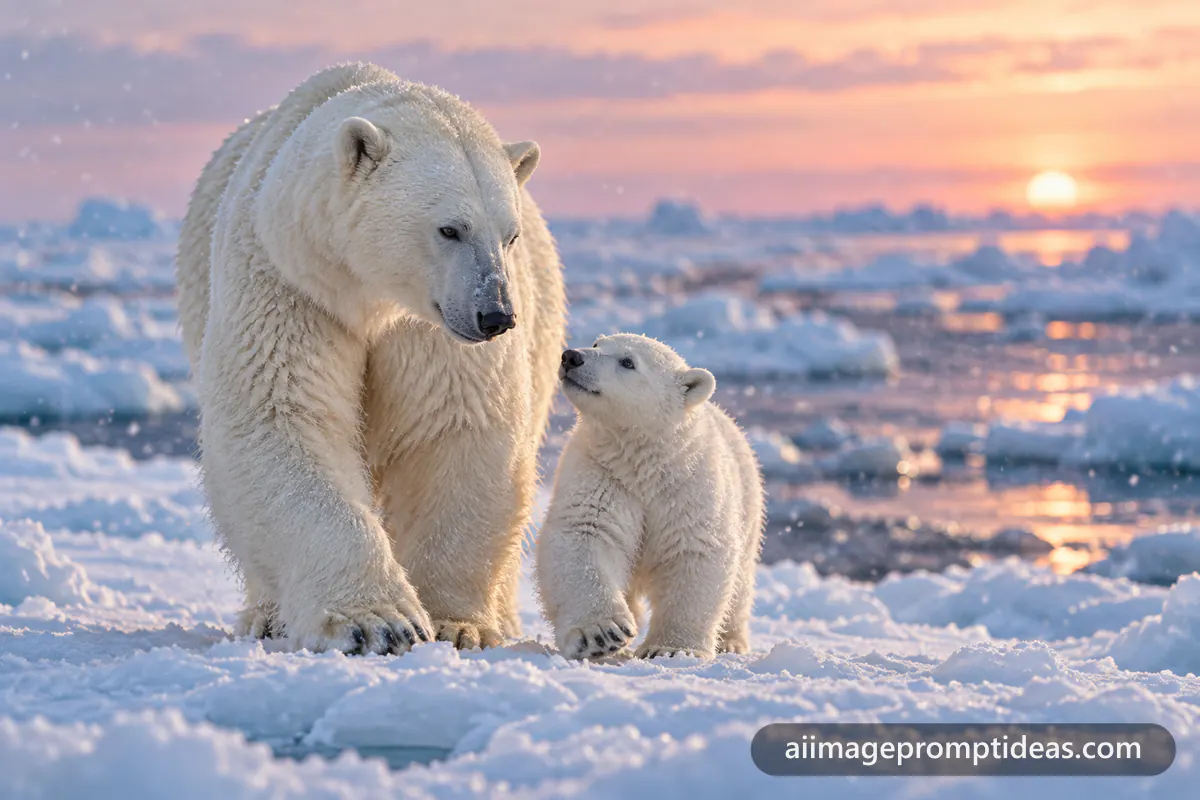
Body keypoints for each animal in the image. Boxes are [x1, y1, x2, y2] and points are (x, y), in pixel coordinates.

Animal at [176, 63, 566, 655]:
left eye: (510, 235)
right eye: (450, 228)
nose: (495, 316)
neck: (367, 298)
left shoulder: (431, 331)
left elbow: (454, 429)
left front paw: (457, 624)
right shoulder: (290, 285)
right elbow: (282, 419)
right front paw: (378, 622)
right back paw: (266, 617)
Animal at [535, 334, 765, 660]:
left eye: (628, 362)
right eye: (597, 343)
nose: (572, 356)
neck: (645, 461)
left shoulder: (688, 488)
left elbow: (695, 551)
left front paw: (672, 648)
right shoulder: (602, 474)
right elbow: (586, 533)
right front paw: (602, 634)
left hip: (749, 504)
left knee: (741, 580)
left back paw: (731, 641)